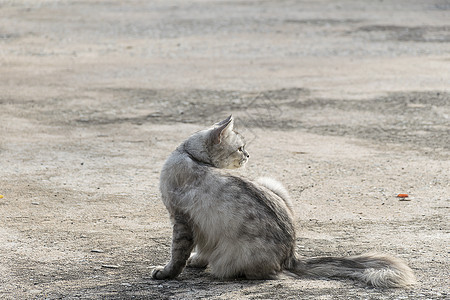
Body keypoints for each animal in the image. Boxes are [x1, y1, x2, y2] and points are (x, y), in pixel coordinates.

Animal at [151, 115, 414, 288]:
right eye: (240, 148)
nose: (248, 155)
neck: (190, 156)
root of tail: (291, 256)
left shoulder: (182, 221)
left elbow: (177, 256)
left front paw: (166, 273)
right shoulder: (199, 226)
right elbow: (198, 251)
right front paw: (195, 262)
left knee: (269, 274)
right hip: (272, 185)